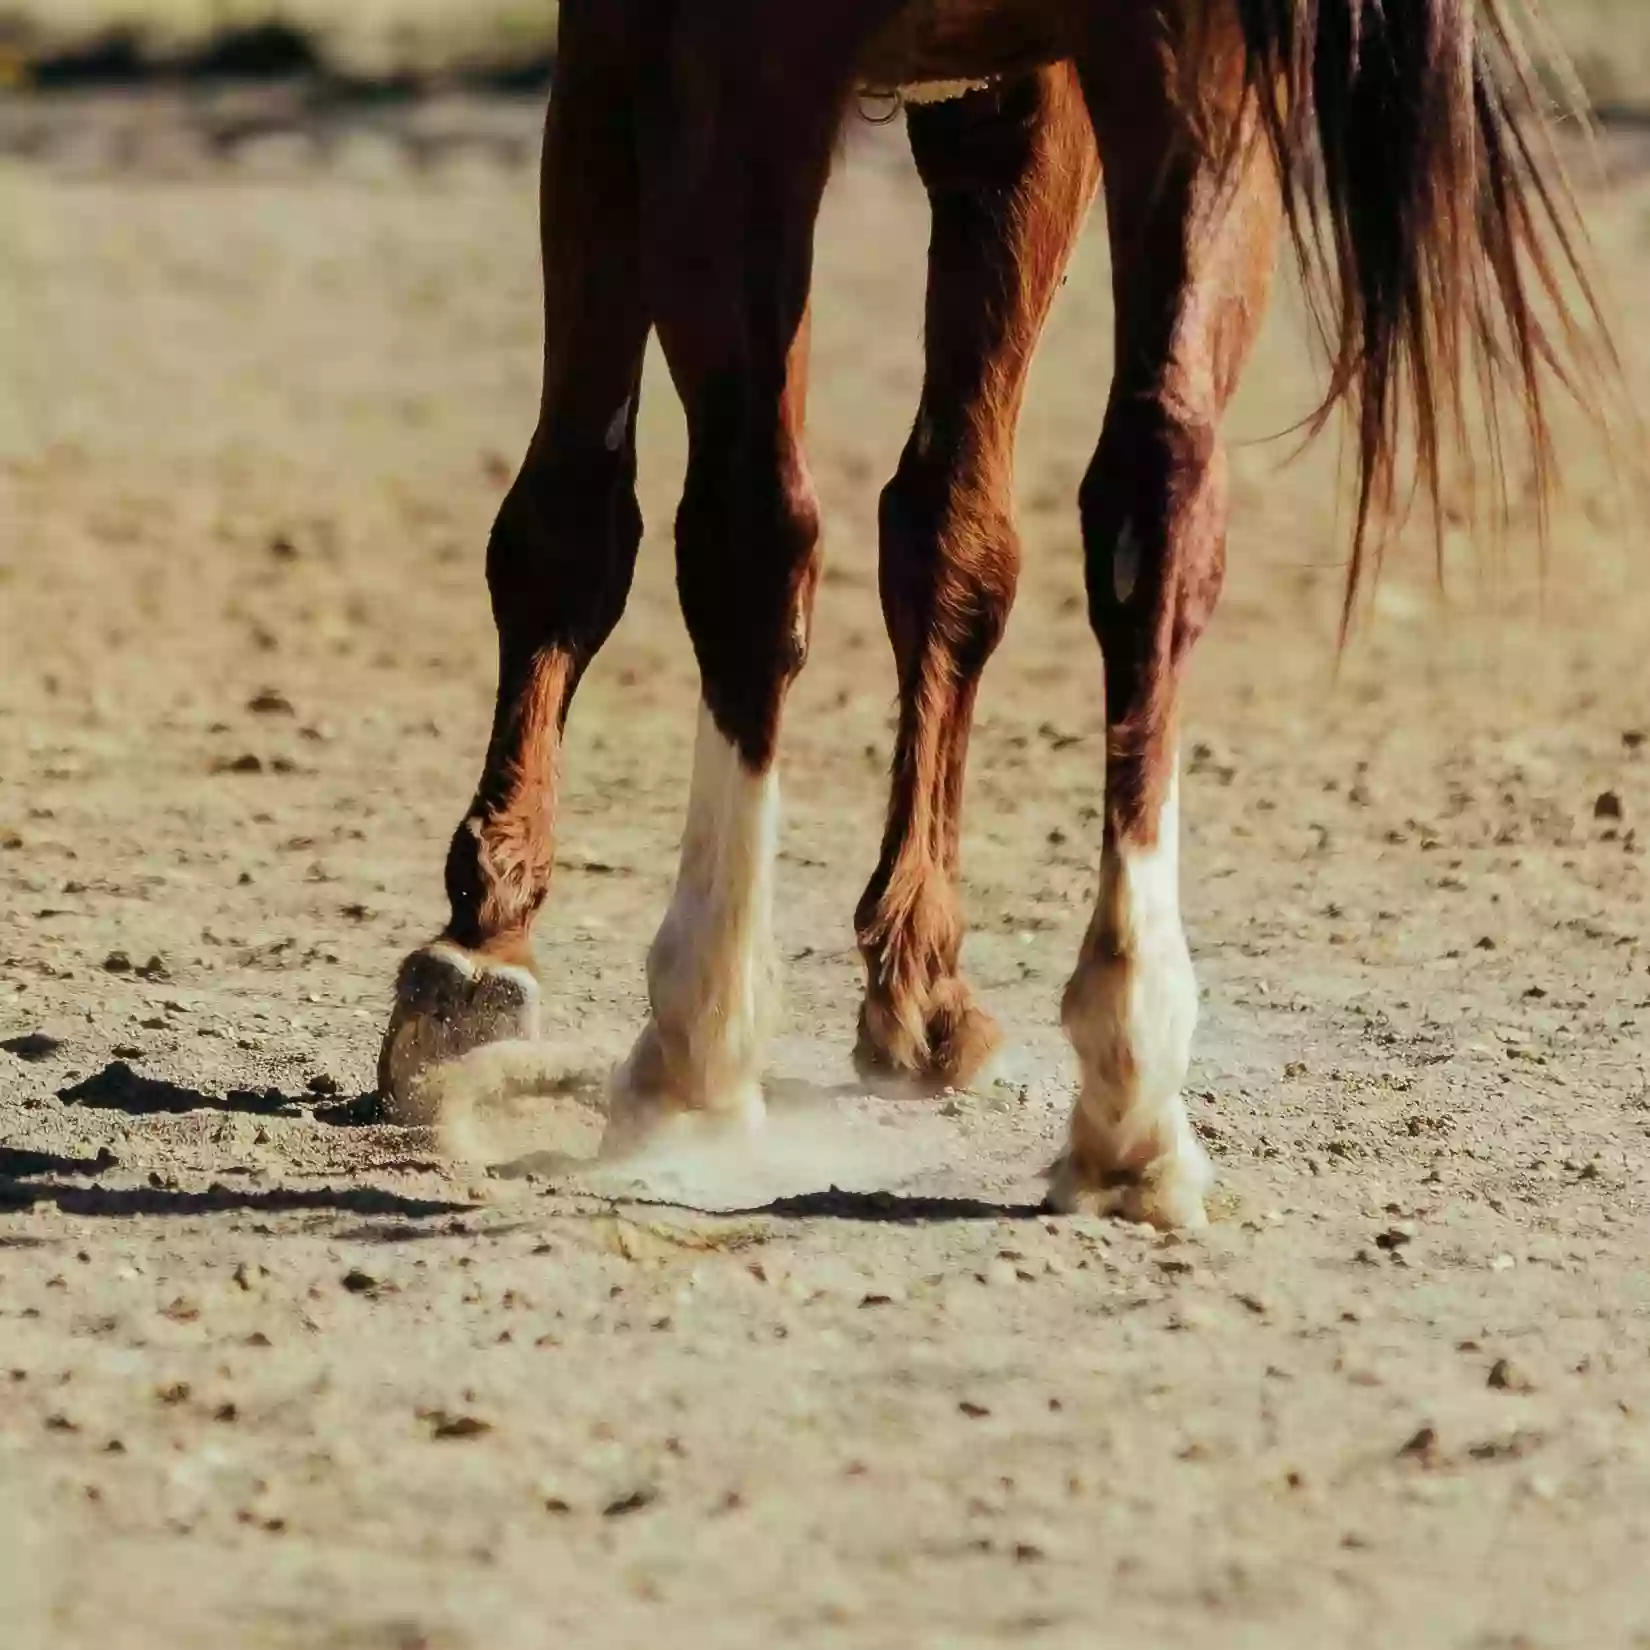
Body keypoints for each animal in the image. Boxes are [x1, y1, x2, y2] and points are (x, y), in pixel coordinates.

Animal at [374, 0, 1610, 1227]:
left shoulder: (631, 50)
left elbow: (574, 515)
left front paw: (482, 948)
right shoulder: (1024, 102)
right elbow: (953, 539)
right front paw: (920, 982)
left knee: (749, 525)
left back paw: (698, 1053)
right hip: (1191, 83)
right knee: (1158, 497)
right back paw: (1130, 1094)